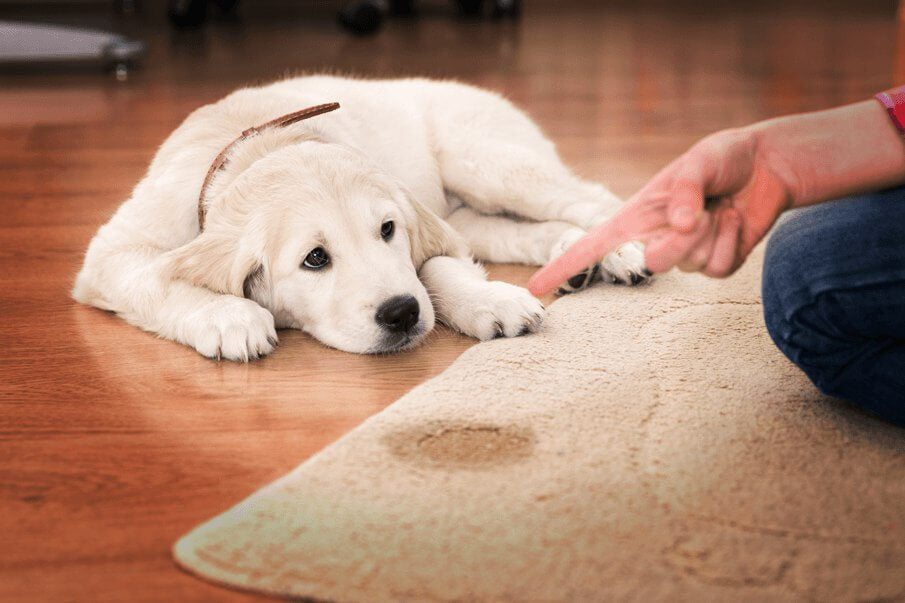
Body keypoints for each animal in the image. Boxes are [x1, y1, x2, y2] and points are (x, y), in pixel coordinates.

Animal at [74, 74, 648, 358]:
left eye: (387, 230)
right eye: (315, 259)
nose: (402, 315)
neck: (258, 145)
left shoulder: (425, 227)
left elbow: (436, 269)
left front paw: (489, 301)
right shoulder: (112, 253)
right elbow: (156, 279)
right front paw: (228, 317)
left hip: (486, 160)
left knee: (590, 197)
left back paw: (620, 251)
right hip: (470, 206)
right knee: (516, 230)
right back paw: (573, 257)